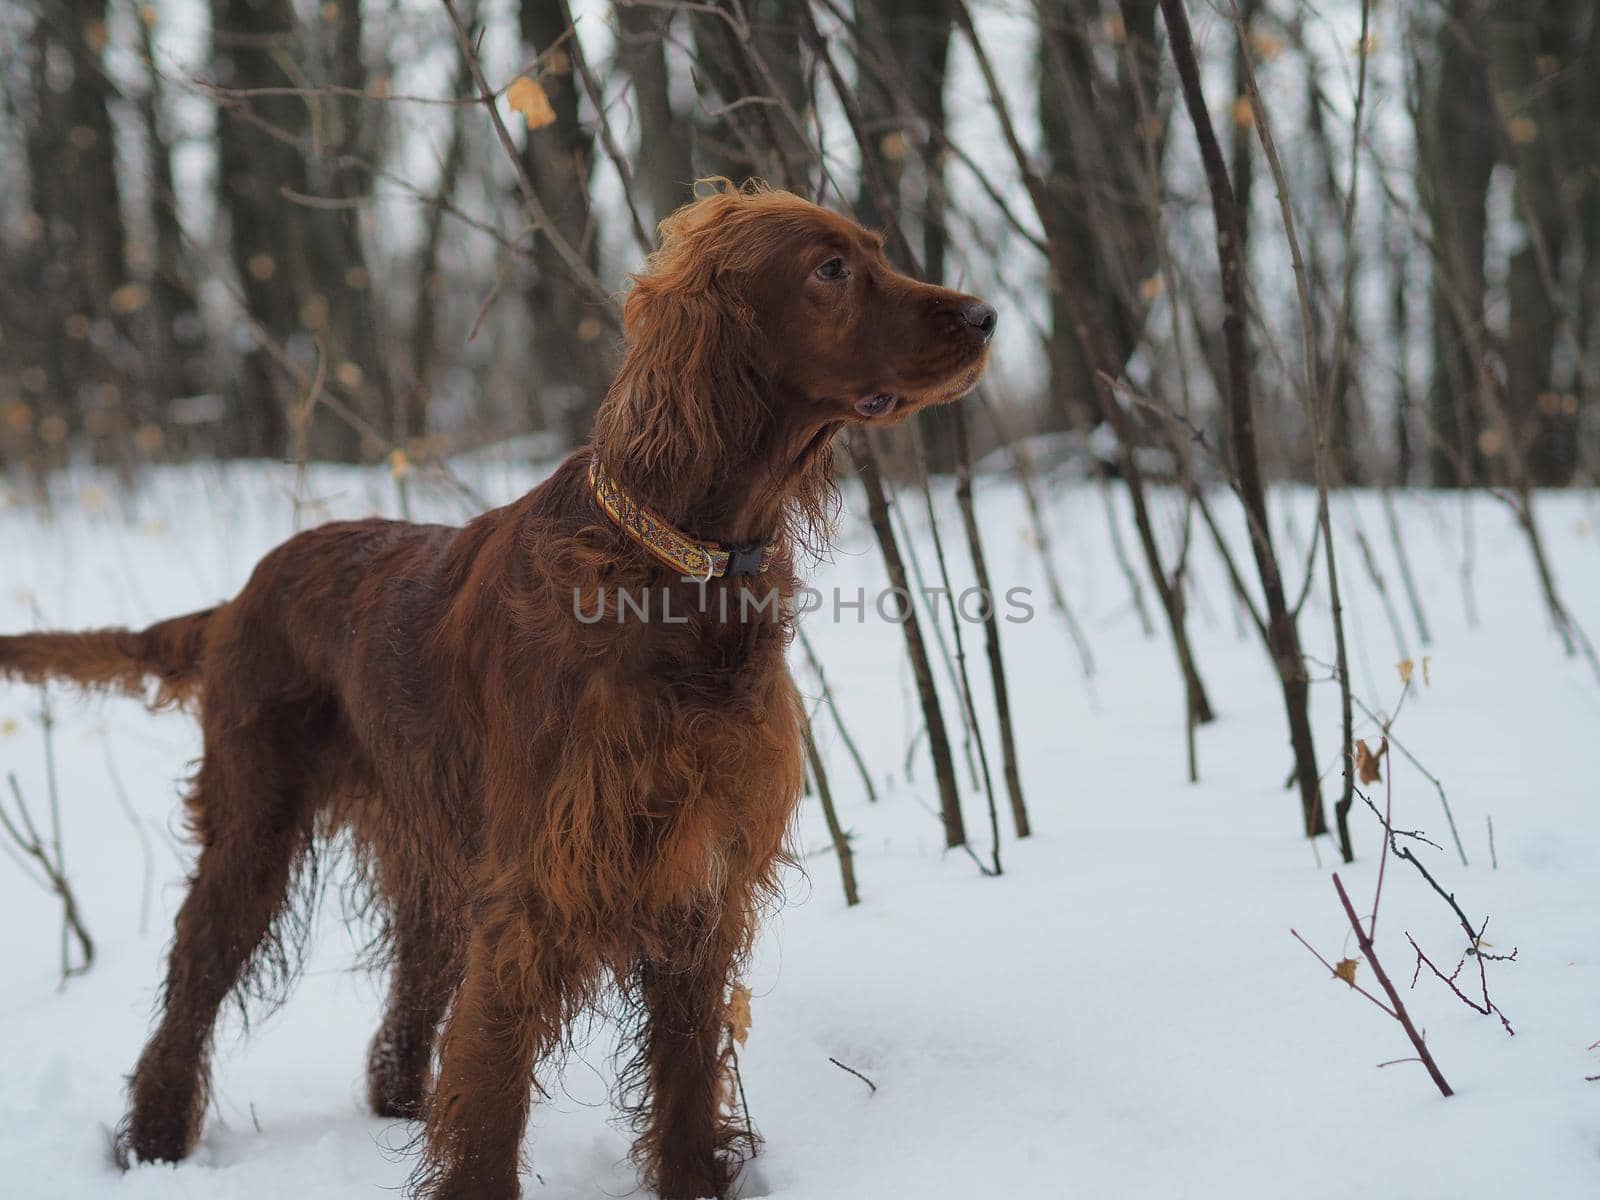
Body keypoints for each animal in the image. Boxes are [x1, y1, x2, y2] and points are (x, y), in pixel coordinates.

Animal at [0, 183, 992, 1196]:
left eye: (874, 249)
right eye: (830, 269)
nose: (987, 316)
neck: (675, 571)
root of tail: (246, 591)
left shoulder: (695, 881)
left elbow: (681, 1083)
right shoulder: (537, 890)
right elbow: (492, 1094)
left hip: (437, 861)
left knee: (405, 1005)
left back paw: (395, 1104)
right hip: (255, 832)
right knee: (191, 993)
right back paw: (155, 1147)